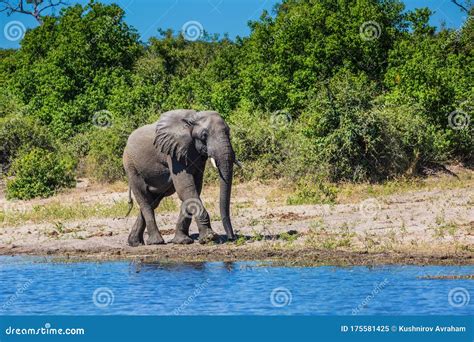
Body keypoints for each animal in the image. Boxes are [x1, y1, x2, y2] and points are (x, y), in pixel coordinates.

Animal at [122, 109, 237, 246]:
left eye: (229, 132)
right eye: (204, 135)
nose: (231, 238)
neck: (193, 118)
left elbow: (194, 189)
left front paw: (182, 241)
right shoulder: (173, 152)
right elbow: (185, 188)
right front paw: (209, 238)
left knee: (153, 201)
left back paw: (135, 243)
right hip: (131, 167)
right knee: (144, 198)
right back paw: (156, 242)